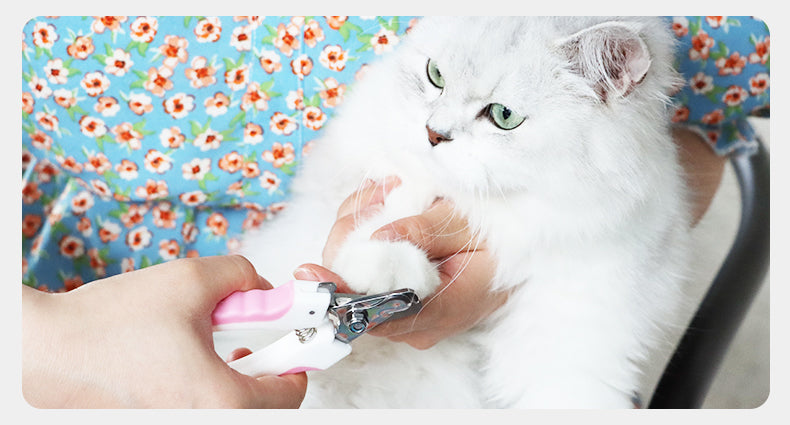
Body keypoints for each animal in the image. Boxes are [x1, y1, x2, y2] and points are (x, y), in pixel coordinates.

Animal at [240, 16, 692, 408]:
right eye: (435, 76)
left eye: (504, 116)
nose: (433, 133)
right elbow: (387, 217)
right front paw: (388, 262)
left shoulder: (580, 328)